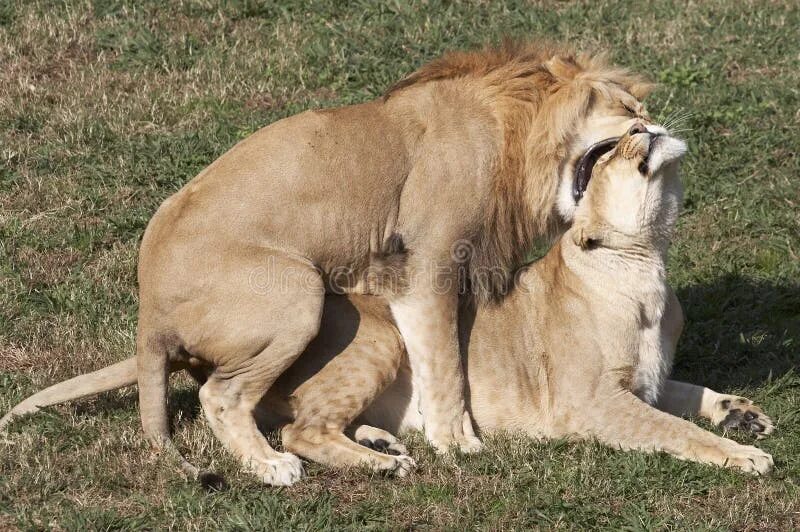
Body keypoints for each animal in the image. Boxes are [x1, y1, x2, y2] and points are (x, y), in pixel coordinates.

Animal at [1, 41, 664, 484]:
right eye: (629, 110)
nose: (656, 131)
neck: (514, 132)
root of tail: (149, 315)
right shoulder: (428, 264)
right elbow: (446, 364)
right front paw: (460, 443)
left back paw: (376, 440)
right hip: (299, 292)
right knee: (225, 397)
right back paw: (273, 465)